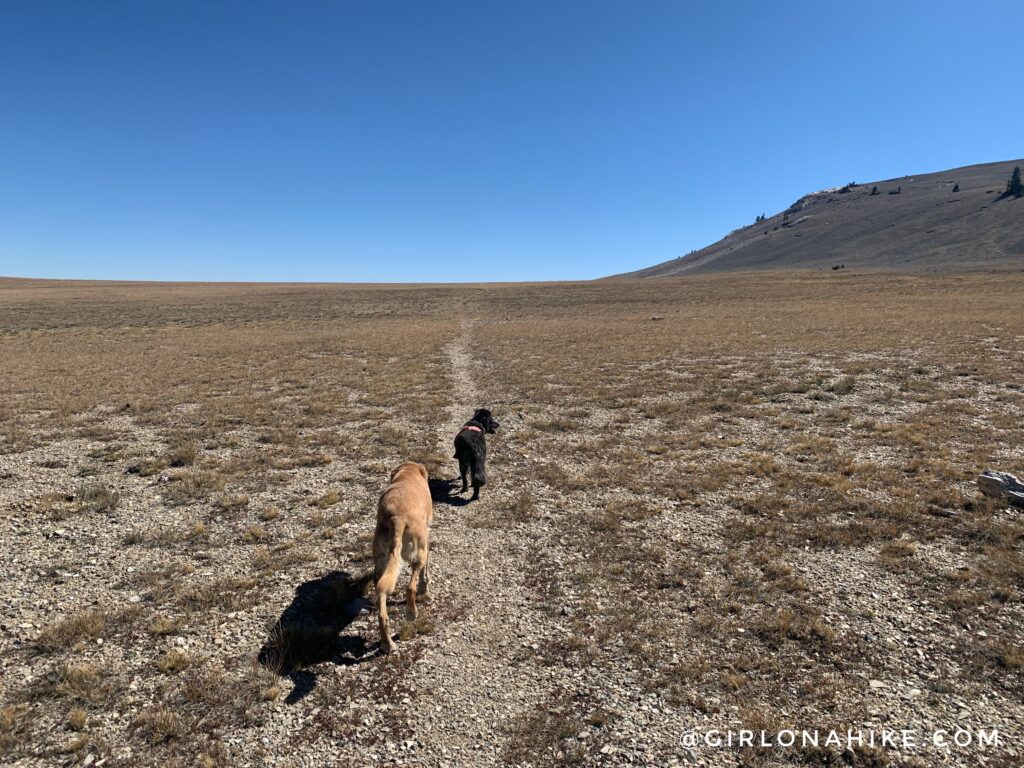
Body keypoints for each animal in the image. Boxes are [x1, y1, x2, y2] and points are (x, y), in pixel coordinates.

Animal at [372, 462, 432, 655]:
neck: (408, 474)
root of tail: (396, 517)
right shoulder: (426, 540)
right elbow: (424, 574)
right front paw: (424, 588)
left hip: (381, 564)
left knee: (382, 610)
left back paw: (387, 644)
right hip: (418, 553)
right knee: (410, 587)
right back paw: (412, 612)